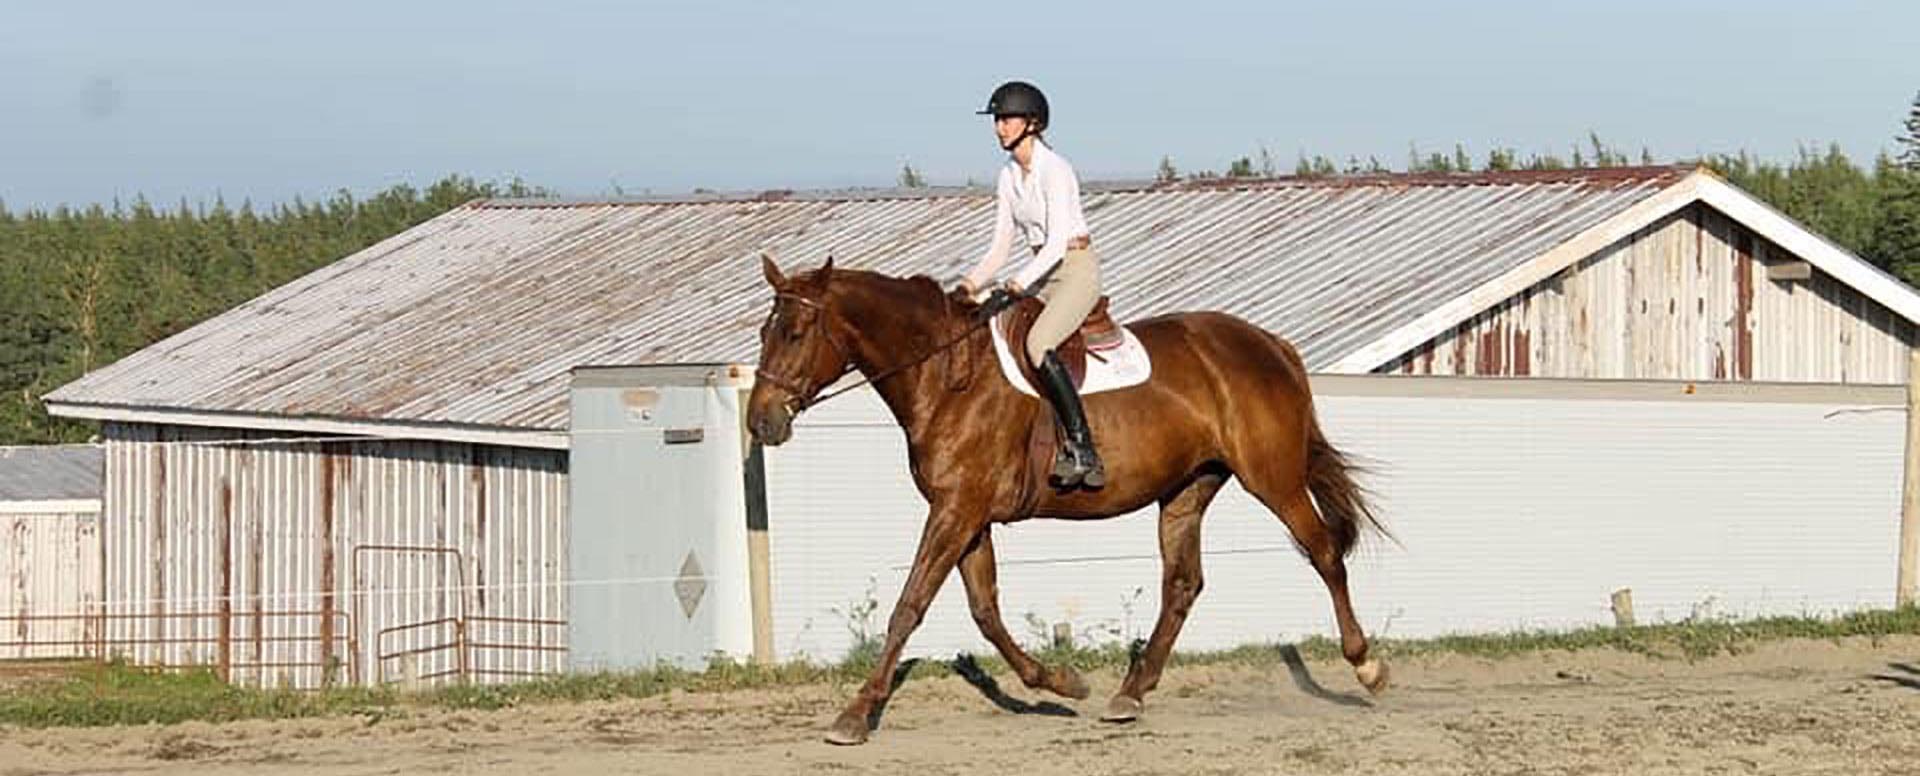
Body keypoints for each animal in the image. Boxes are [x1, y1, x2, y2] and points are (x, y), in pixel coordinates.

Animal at [741, 255, 1390, 745]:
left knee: (1323, 553)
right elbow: (985, 611)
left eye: (794, 333)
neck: (946, 375)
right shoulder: (967, 514)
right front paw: (1059, 682)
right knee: (1183, 585)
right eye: (763, 333)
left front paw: (856, 715)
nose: (761, 422)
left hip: (1272, 478)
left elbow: (910, 605)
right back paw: (1130, 694)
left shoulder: (956, 511)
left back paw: (1367, 666)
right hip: (1187, 489)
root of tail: (1270, 344)